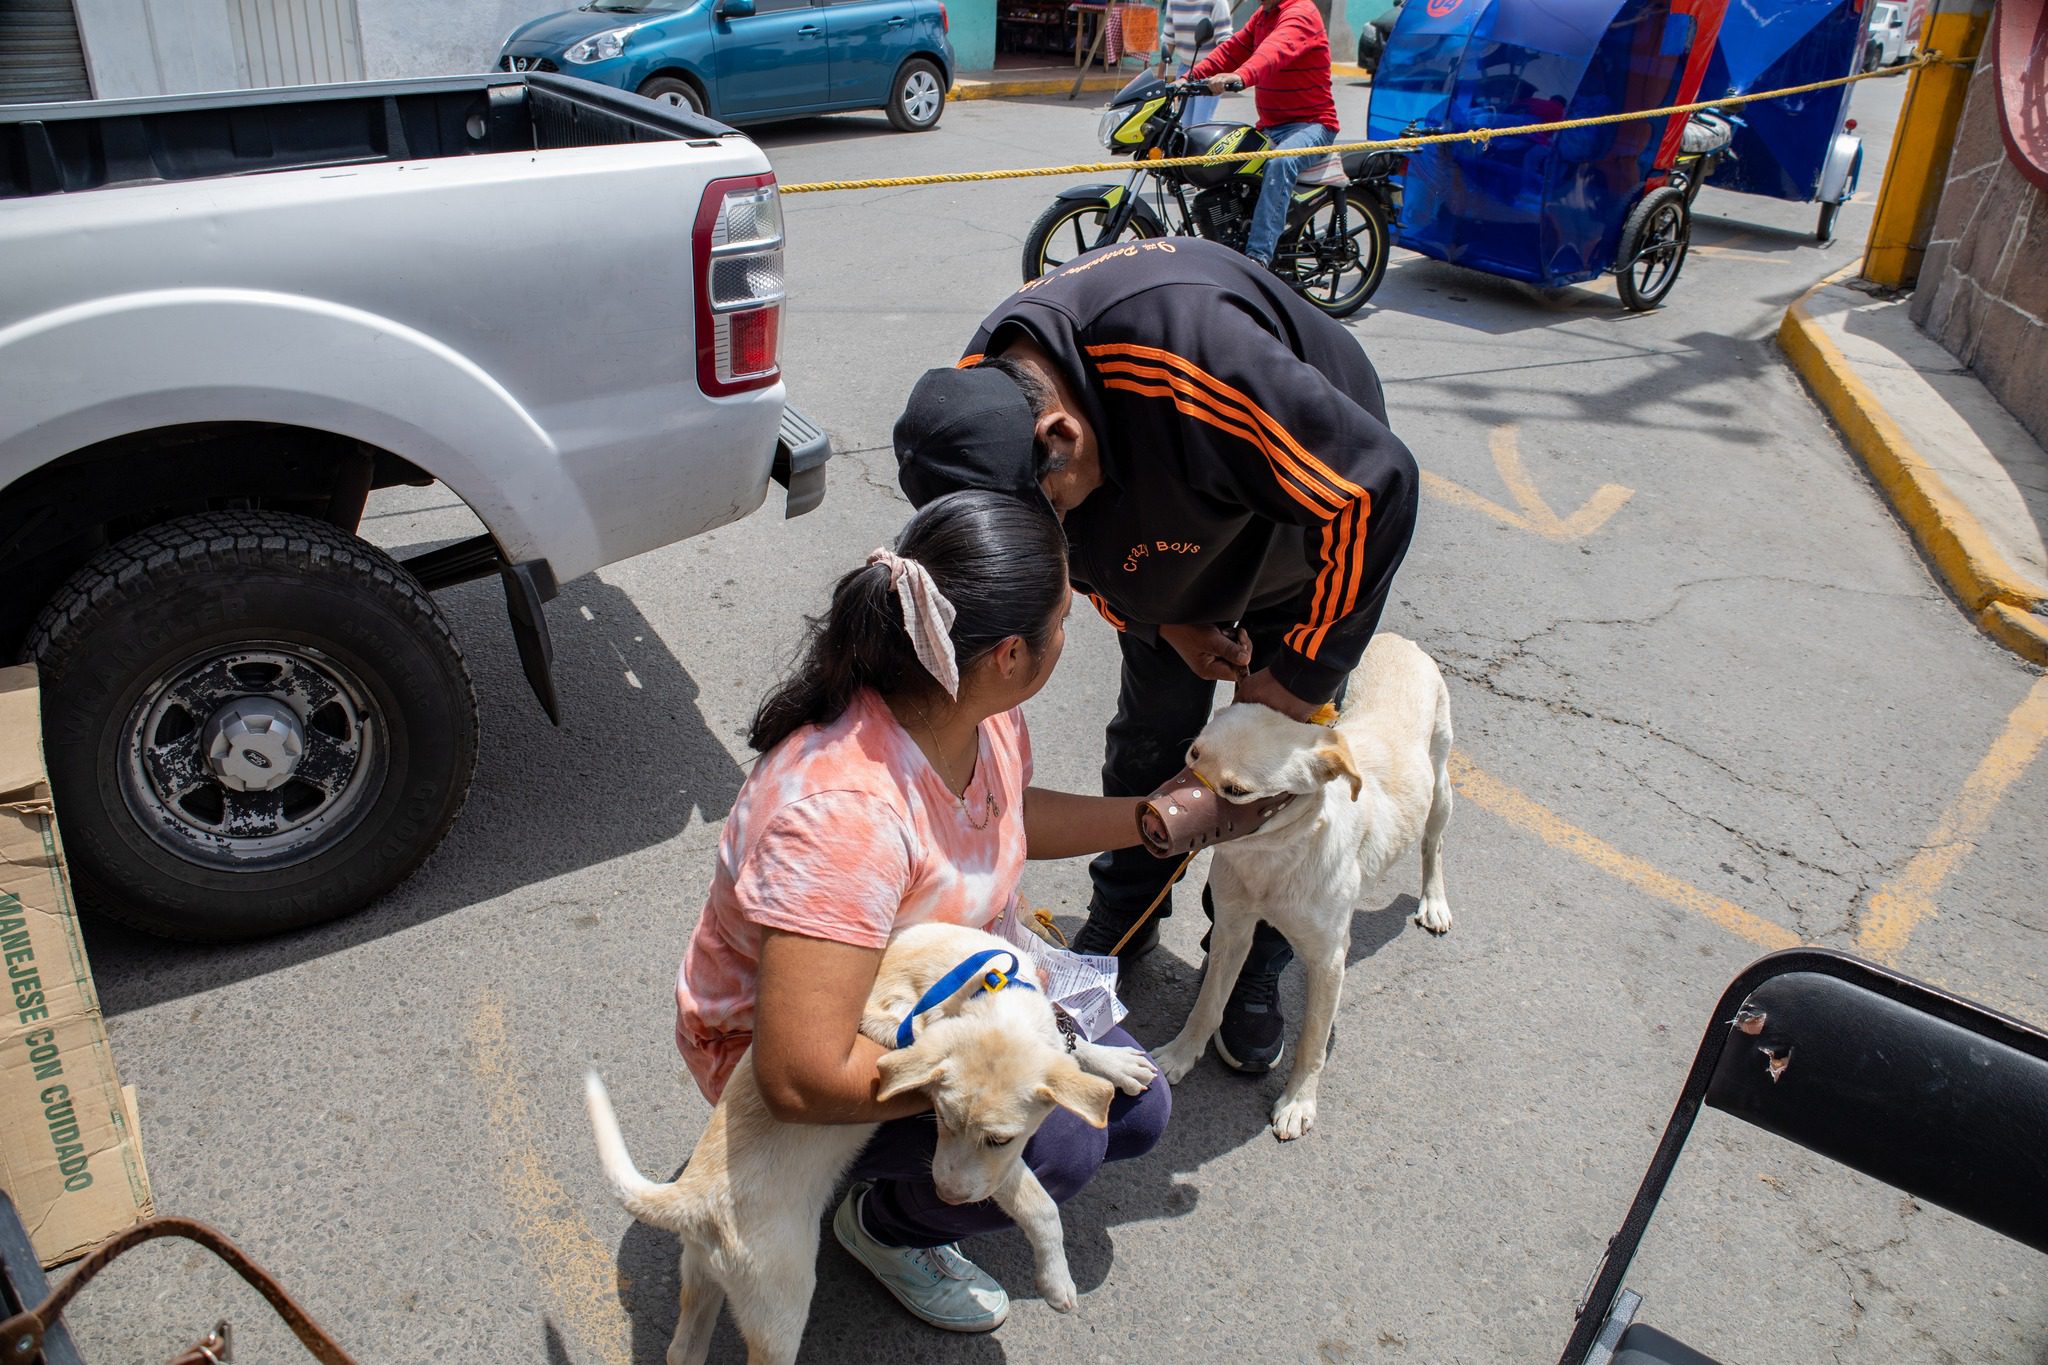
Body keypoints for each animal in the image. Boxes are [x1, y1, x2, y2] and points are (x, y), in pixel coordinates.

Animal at [593, 925, 1163, 1358]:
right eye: (939, 1120)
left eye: (1000, 1138)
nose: (947, 1197)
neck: (987, 985)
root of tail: (692, 1199)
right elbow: (1040, 1204)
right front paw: (1057, 1281)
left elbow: (1067, 1053)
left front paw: (1110, 1063)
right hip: (779, 1303)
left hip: (702, 1275)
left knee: (683, 1349)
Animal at [1155, 638, 1458, 1146]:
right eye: (1193, 755)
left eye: (1237, 791)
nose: (1151, 816)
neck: (1272, 861)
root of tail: (1400, 640)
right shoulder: (1232, 928)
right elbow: (1207, 1005)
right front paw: (1180, 1055)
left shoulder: (1329, 959)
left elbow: (1313, 1042)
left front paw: (1299, 1103)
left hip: (1440, 787)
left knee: (1433, 844)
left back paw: (1434, 902)